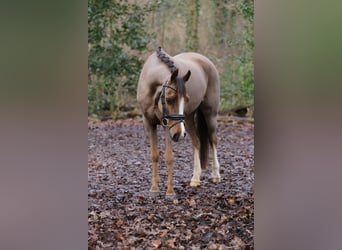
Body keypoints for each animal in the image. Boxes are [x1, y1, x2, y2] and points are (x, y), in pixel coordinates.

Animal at [137, 46, 220, 195]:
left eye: (186, 99)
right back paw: (195, 178)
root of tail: (206, 61)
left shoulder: (167, 126)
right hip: (189, 118)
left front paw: (170, 192)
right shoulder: (149, 124)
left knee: (213, 140)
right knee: (196, 142)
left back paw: (216, 175)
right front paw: (154, 188)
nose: (179, 134)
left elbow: (169, 157)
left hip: (210, 115)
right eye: (169, 99)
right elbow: (154, 155)